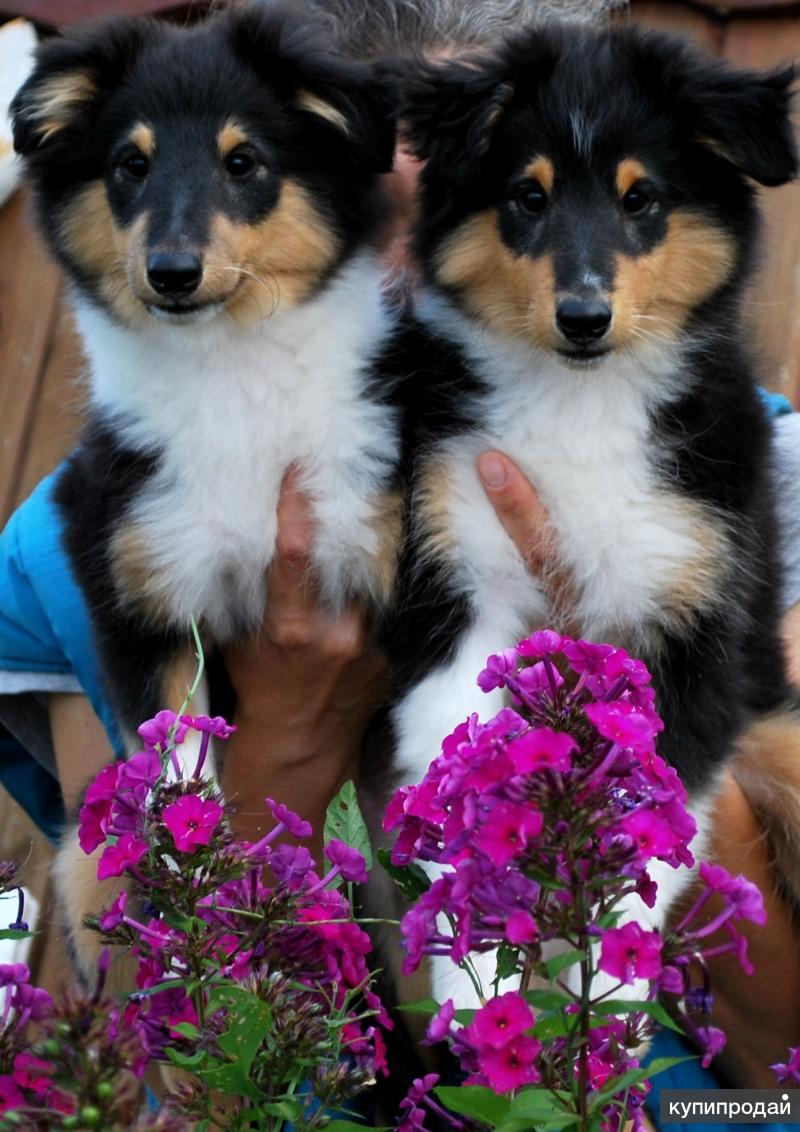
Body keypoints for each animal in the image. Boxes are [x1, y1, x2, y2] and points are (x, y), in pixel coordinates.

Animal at [13, 0, 409, 973]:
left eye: (244, 162)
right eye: (131, 165)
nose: (172, 272)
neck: (229, 371)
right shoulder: (138, 594)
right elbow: (176, 772)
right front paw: (197, 934)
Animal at [380, 24, 800, 1000]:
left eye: (640, 198)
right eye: (527, 197)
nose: (583, 316)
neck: (582, 397)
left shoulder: (693, 630)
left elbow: (648, 824)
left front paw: (609, 997)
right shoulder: (457, 587)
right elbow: (460, 790)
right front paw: (481, 988)